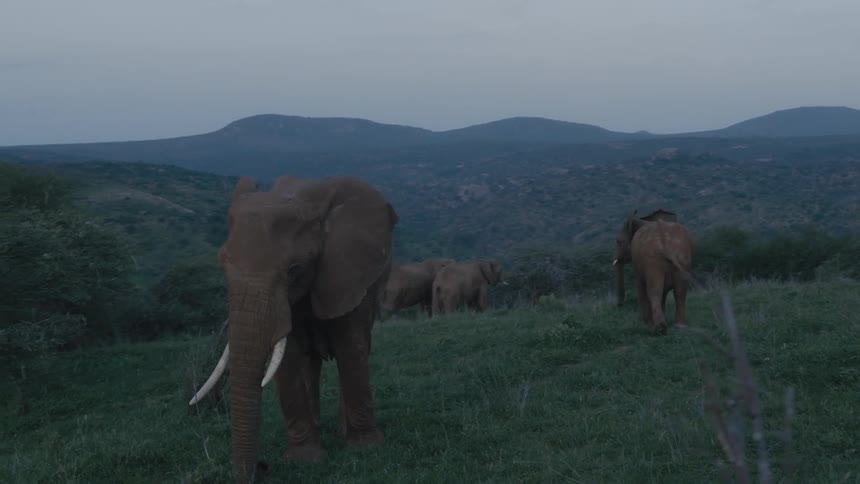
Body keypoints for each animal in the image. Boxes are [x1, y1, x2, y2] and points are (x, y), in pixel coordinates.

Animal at [187, 174, 399, 483]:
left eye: (294, 269)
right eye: (222, 265)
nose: (263, 467)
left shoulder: (347, 272)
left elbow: (351, 347)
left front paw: (365, 447)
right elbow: (287, 359)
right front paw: (305, 459)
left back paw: (341, 429)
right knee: (310, 362)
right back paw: (319, 424)